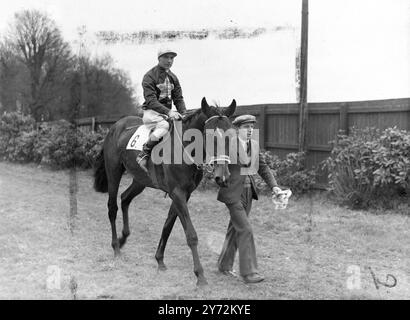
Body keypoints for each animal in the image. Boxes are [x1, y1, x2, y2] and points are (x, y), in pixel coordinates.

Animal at [91, 97, 235, 284]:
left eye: (231, 135)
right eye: (211, 136)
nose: (222, 177)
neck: (184, 149)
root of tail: (116, 126)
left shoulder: (184, 194)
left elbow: (168, 225)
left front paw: (159, 260)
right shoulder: (177, 193)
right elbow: (191, 235)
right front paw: (200, 275)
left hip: (140, 180)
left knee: (125, 198)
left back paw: (123, 238)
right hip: (114, 172)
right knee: (112, 207)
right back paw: (116, 247)